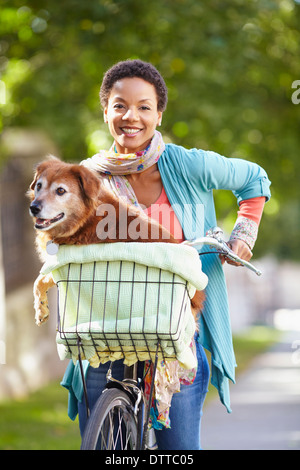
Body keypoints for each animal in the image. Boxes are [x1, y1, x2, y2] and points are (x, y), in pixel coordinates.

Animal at [29, 156, 205, 324]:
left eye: (60, 190)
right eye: (39, 186)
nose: (34, 207)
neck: (86, 219)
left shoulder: (68, 265)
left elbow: (41, 279)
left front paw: (40, 307)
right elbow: (39, 281)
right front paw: (41, 308)